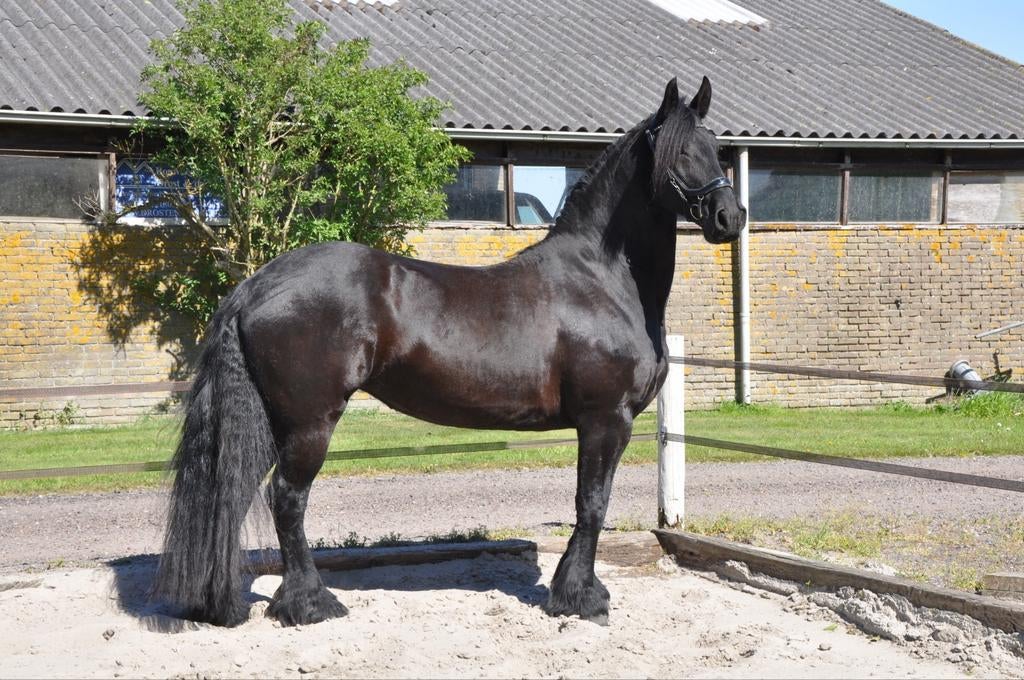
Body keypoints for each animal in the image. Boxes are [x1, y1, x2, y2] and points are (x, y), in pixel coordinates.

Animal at [153, 76, 746, 627]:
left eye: (716, 147)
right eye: (676, 152)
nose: (729, 217)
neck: (600, 280)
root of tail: (257, 285)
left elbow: (591, 504)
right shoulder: (606, 419)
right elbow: (593, 503)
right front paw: (580, 598)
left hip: (271, 421)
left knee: (235, 498)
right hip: (308, 422)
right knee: (287, 499)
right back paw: (310, 603)